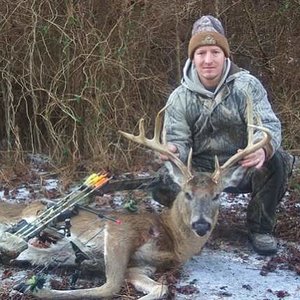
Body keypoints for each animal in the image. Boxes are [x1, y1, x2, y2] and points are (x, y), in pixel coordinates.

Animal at [0, 99, 270, 300]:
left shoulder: (139, 268)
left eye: (217, 195)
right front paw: (34, 288)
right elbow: (110, 287)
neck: (174, 241)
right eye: (187, 193)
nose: (201, 224)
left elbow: (161, 288)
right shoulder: (121, 230)